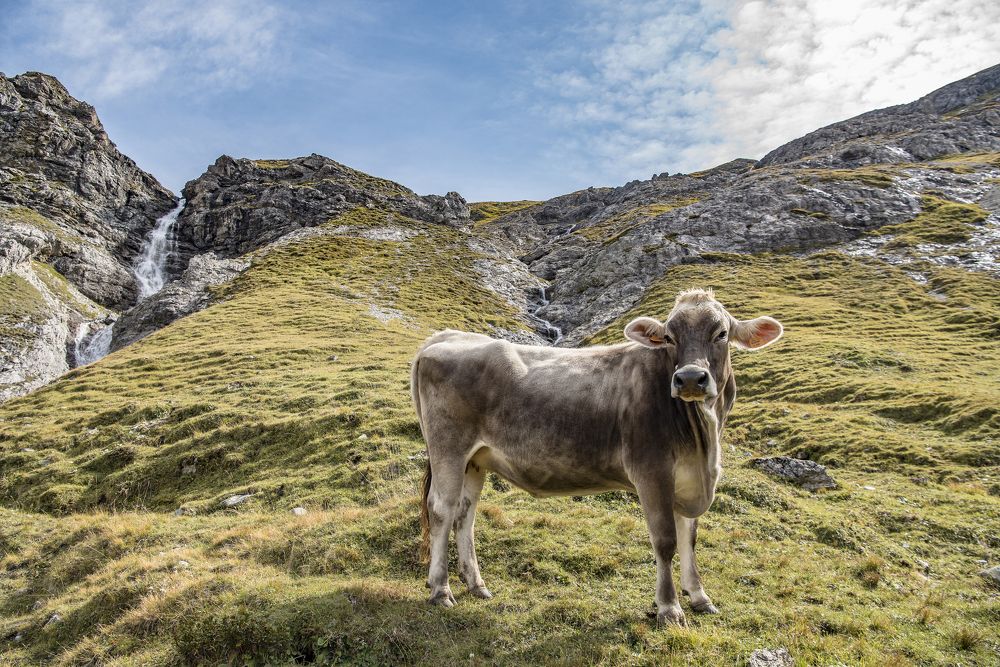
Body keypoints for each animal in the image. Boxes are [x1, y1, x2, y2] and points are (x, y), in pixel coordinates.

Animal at [410, 288, 783, 626]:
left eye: (721, 333)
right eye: (669, 337)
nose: (690, 378)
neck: (704, 443)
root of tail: (445, 336)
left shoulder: (688, 478)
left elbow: (689, 537)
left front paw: (700, 597)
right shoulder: (652, 472)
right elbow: (665, 541)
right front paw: (669, 608)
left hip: (475, 459)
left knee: (465, 514)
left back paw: (476, 584)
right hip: (449, 448)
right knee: (441, 510)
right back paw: (441, 589)